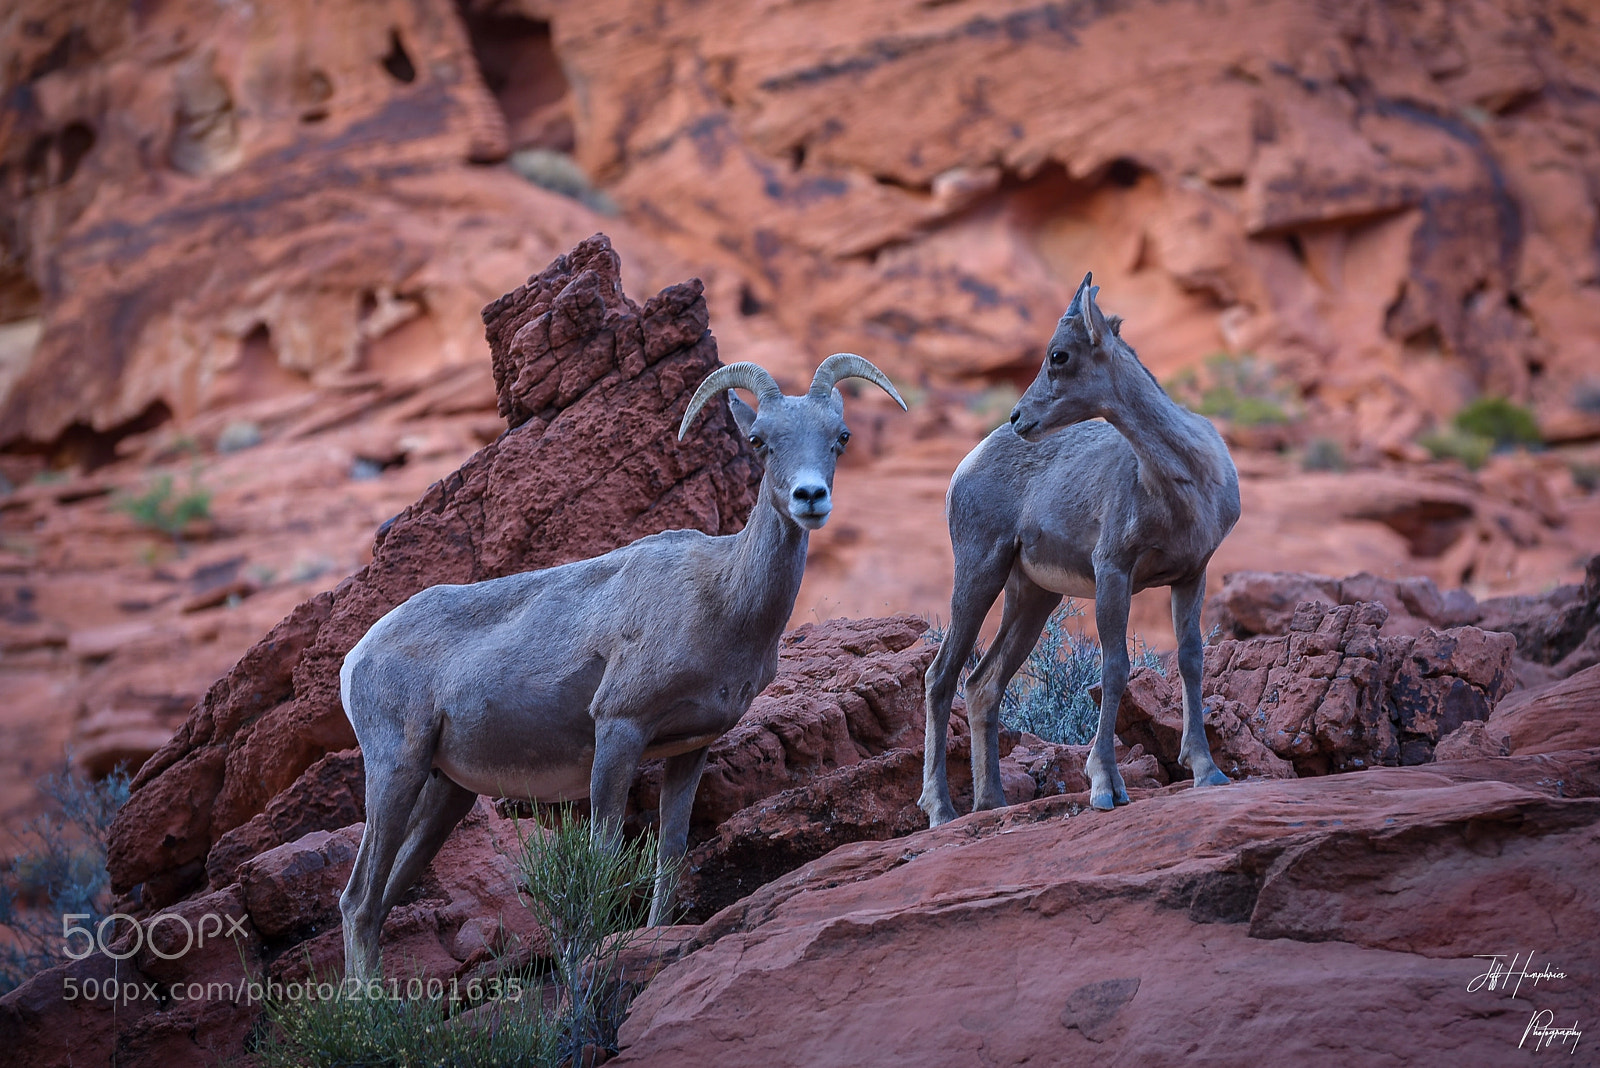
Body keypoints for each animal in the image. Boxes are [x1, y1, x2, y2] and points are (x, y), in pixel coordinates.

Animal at [338, 354, 905, 980]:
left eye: (840, 437)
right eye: (759, 441)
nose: (810, 496)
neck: (721, 600)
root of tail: (357, 657)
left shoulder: (691, 748)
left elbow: (671, 851)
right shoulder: (619, 729)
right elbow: (603, 855)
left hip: (446, 791)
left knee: (382, 899)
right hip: (397, 768)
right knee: (359, 900)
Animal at [919, 273, 1240, 823]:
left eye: (1059, 355)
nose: (1019, 417)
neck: (1182, 481)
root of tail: (965, 466)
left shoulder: (1190, 575)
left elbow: (1191, 660)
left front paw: (1208, 771)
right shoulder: (1113, 571)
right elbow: (1114, 670)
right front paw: (1105, 787)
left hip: (1033, 596)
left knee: (982, 684)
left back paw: (991, 802)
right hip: (980, 572)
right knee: (941, 676)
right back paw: (941, 810)